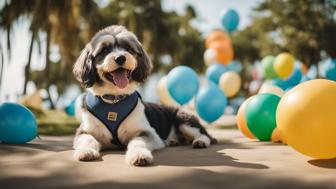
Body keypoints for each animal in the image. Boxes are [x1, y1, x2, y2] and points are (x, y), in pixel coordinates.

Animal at [72, 25, 217, 167]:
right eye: (105, 50)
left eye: (128, 49)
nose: (120, 58)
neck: (114, 99)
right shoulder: (85, 131)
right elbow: (87, 139)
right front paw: (85, 151)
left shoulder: (147, 132)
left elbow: (137, 141)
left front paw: (139, 155)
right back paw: (173, 141)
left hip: (183, 119)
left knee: (204, 134)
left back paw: (200, 141)